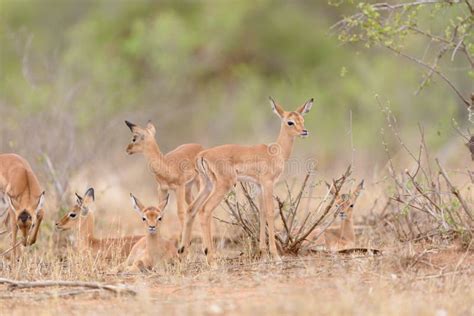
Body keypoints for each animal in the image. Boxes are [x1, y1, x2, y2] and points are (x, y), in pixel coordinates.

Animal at [180, 97, 312, 262]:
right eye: (290, 122)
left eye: (302, 119)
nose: (304, 131)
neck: (276, 152)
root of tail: (202, 155)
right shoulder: (268, 183)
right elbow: (270, 212)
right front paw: (275, 256)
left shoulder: (258, 186)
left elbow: (261, 213)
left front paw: (263, 253)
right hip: (223, 186)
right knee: (205, 210)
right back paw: (211, 259)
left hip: (207, 185)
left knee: (191, 209)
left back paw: (184, 254)